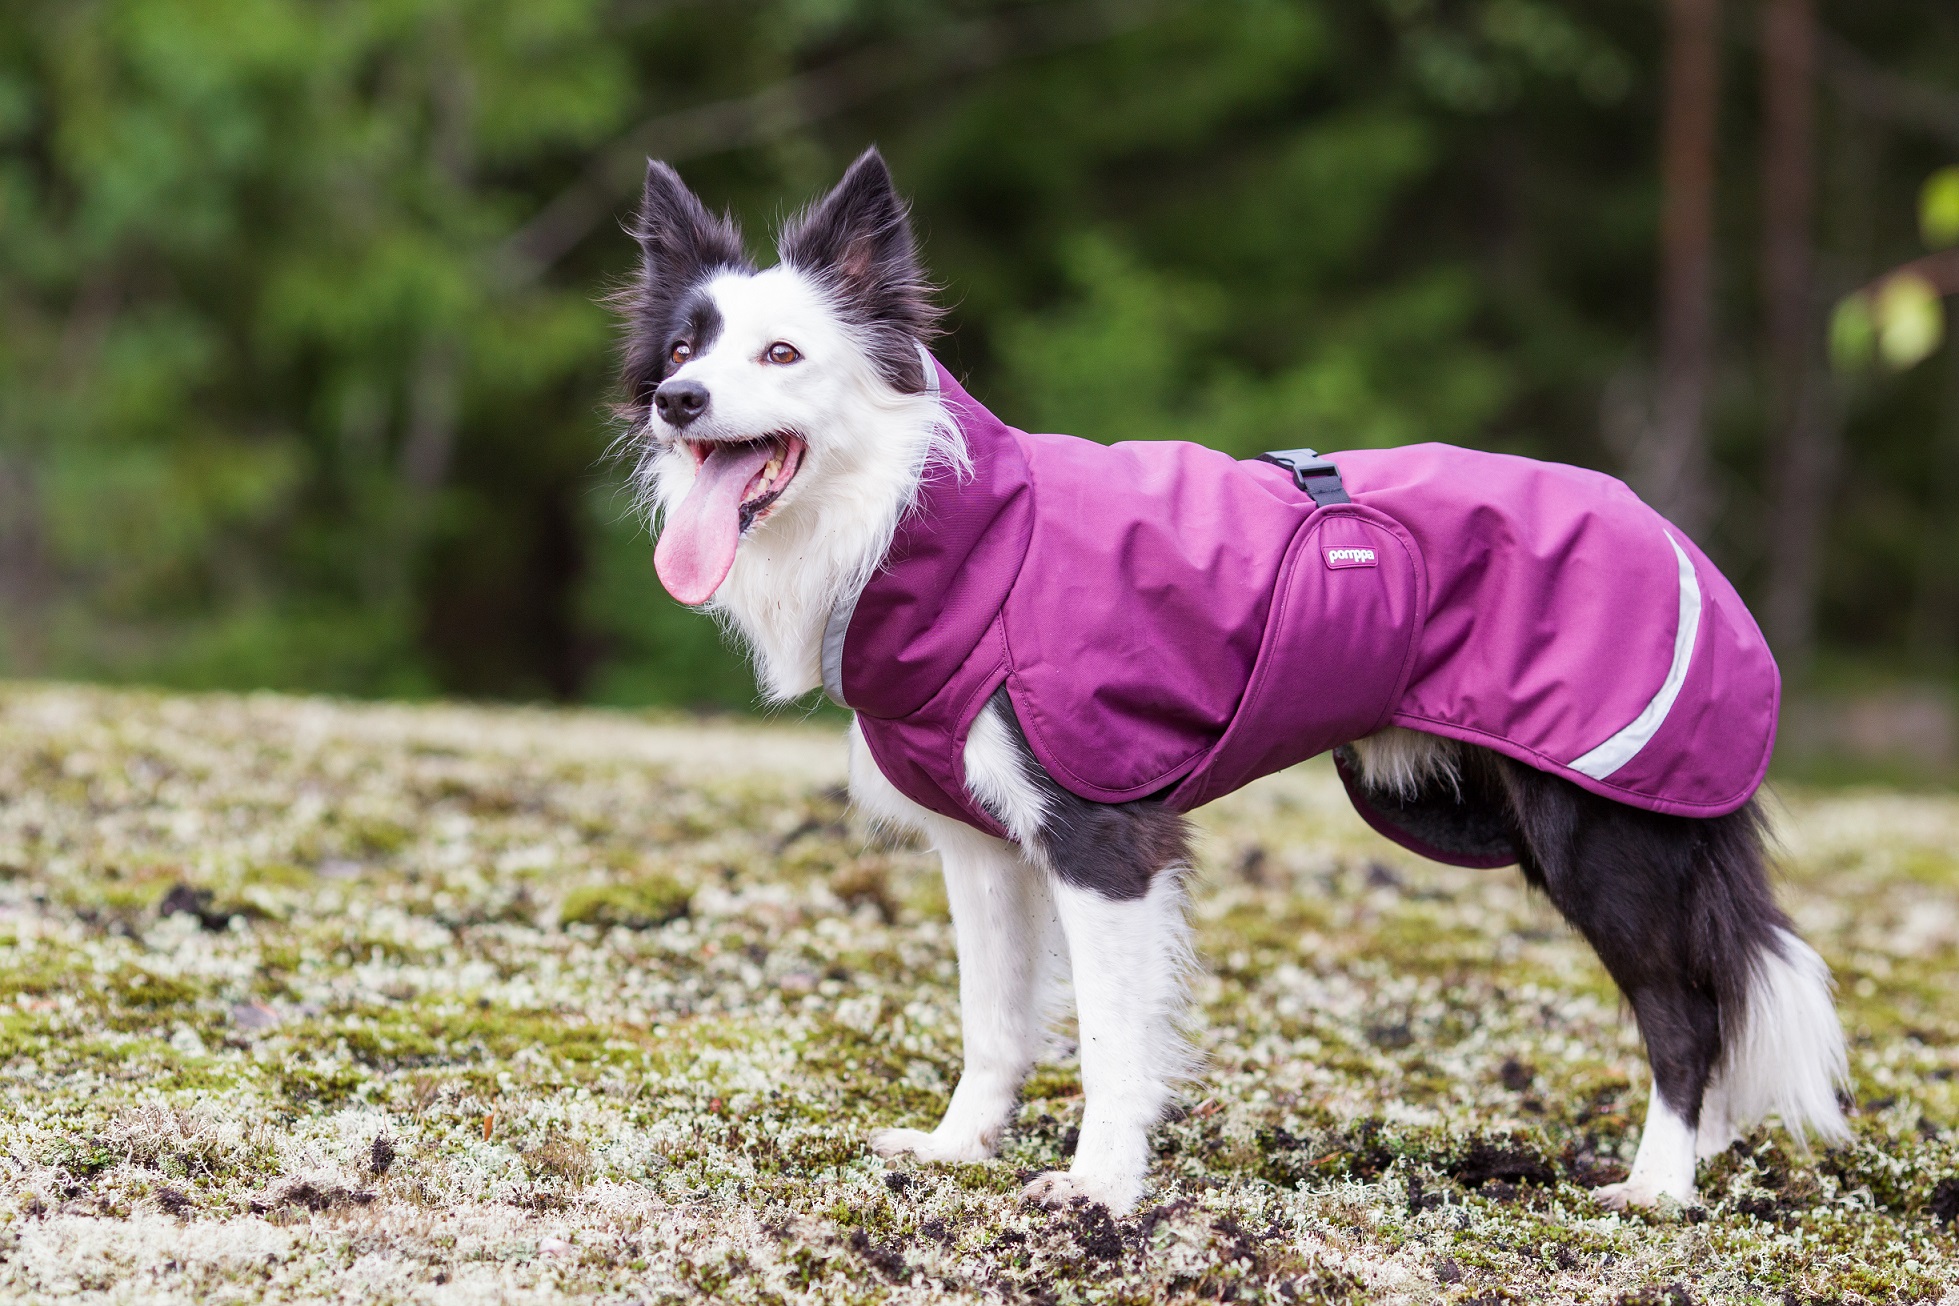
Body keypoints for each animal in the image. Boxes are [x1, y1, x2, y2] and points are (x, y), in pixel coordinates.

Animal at [618, 147, 1850, 1216]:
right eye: (682, 351)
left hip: (1605, 837)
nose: (679, 403)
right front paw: (958, 1146)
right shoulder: (978, 844)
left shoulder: (1102, 835)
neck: (929, 518)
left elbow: (1111, 1038)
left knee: (1687, 1013)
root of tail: (1675, 534)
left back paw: (1659, 1187)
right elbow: (993, 1019)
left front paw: (1096, 1185)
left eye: (781, 355)